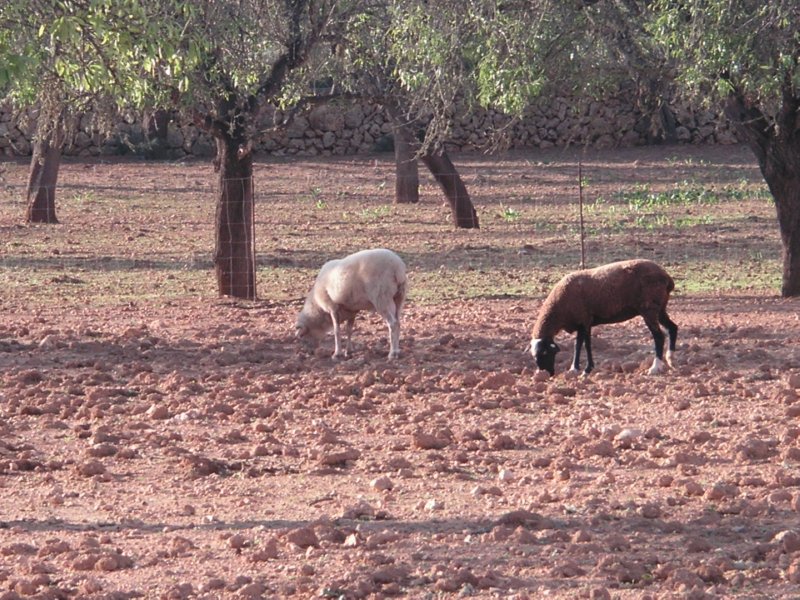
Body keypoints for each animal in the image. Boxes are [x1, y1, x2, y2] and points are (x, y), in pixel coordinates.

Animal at [528, 258, 680, 376]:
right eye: (534, 356)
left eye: (545, 353)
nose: (547, 374)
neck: (559, 308)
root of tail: (667, 277)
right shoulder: (582, 324)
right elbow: (580, 344)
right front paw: (577, 369)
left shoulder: (584, 320)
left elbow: (585, 345)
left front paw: (585, 370)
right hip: (660, 309)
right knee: (673, 328)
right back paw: (671, 359)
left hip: (649, 309)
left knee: (659, 336)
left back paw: (655, 367)